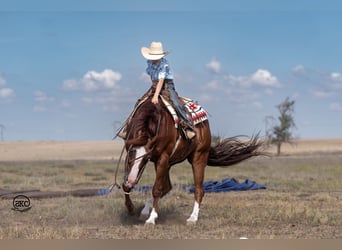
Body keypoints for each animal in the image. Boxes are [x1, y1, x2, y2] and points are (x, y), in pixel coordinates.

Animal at [121, 95, 264, 225]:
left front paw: (151, 219)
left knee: (198, 189)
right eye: (131, 153)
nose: (132, 180)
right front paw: (131, 208)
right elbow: (126, 184)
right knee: (167, 187)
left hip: (198, 158)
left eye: (146, 157)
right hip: (168, 164)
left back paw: (192, 218)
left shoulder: (162, 158)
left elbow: (156, 189)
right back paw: (145, 211)